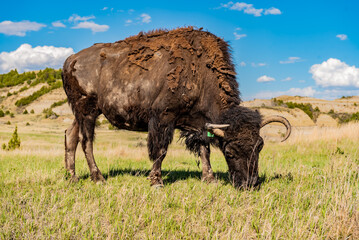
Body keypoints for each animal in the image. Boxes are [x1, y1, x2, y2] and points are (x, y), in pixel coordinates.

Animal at [62, 26, 292, 188]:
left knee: (71, 136)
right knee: (86, 141)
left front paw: (209, 179)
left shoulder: (199, 124)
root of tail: (71, 60)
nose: (250, 183)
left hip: (80, 114)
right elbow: (161, 151)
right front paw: (156, 181)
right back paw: (98, 178)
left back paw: (72, 177)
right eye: (231, 151)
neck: (201, 75)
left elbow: (204, 150)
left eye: (259, 146)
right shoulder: (163, 119)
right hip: (88, 110)